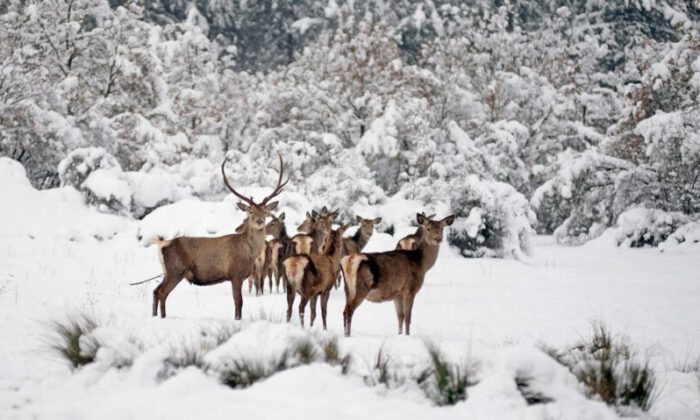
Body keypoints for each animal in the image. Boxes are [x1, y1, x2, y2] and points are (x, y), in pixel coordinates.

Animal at [151, 154, 288, 318]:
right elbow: (238, 302)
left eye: (265, 211)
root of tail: (162, 244)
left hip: (167, 272)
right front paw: (237, 319)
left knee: (155, 291)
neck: (249, 252)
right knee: (162, 293)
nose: (260, 221)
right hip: (176, 270)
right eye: (250, 212)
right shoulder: (235, 274)